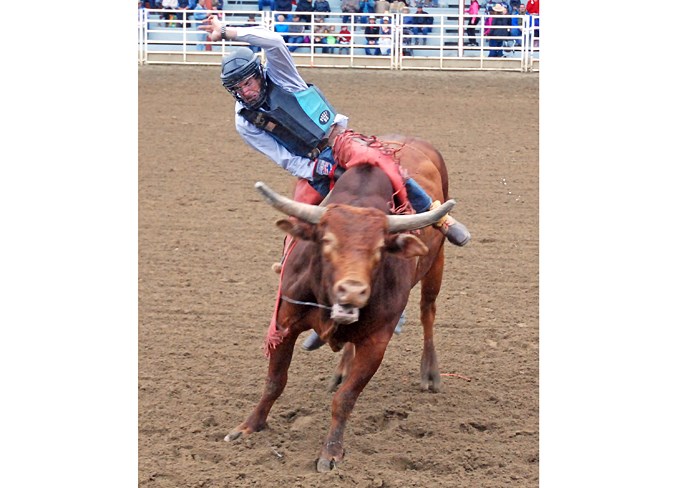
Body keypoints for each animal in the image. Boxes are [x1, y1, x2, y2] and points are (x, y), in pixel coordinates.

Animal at [226, 134, 454, 472]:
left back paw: (430, 372)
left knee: (428, 312)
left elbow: (345, 399)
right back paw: (343, 368)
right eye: (327, 241)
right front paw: (249, 425)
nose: (352, 291)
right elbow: (274, 382)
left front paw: (331, 451)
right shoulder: (285, 323)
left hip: (436, 264)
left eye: (379, 248)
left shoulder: (377, 342)